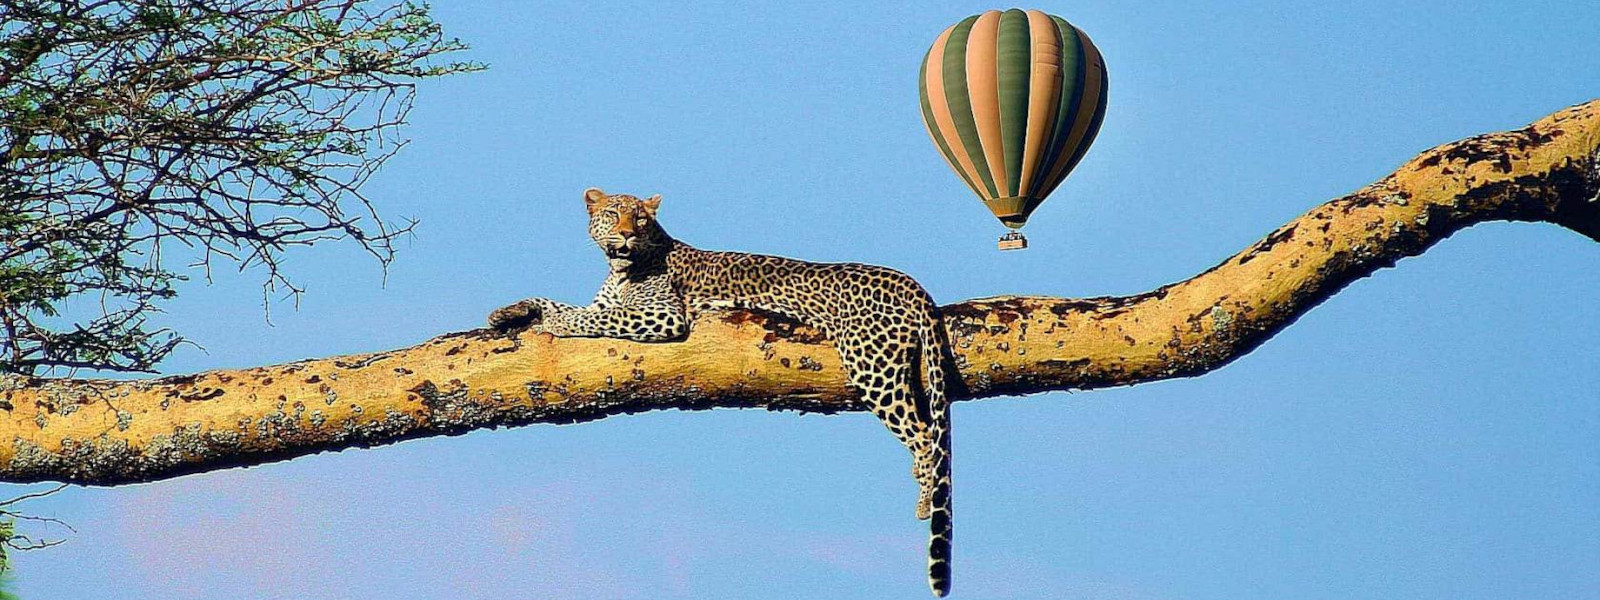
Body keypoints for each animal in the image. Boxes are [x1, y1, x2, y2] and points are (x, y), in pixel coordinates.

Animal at [486, 188, 953, 598]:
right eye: (614, 213)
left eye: (641, 218)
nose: (627, 235)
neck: (620, 269)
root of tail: (914, 285)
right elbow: (564, 303)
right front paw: (511, 311)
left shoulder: (664, 316)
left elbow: (595, 317)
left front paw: (556, 322)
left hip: (871, 365)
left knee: (924, 437)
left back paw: (923, 501)